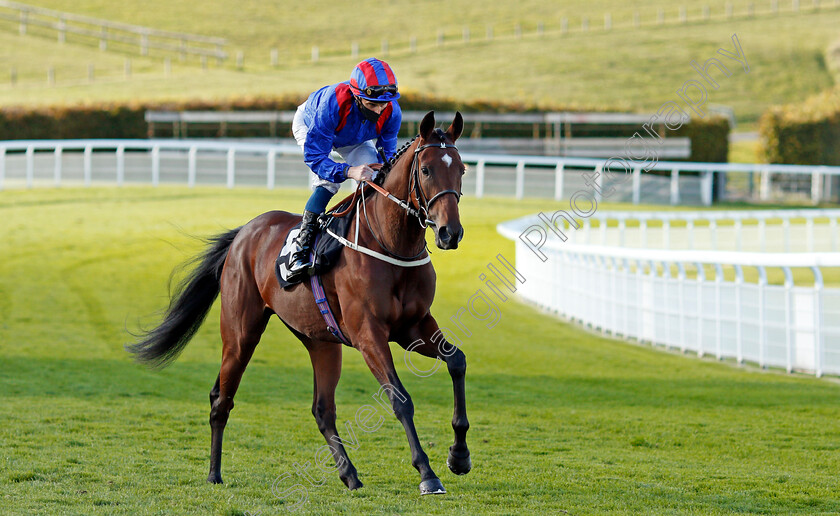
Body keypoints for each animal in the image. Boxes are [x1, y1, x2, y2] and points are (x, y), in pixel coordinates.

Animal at [130, 112, 472, 496]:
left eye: (461, 168)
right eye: (426, 170)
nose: (450, 233)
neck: (390, 244)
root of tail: (245, 231)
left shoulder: (414, 325)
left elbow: (457, 361)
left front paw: (459, 456)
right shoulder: (369, 334)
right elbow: (400, 398)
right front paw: (427, 473)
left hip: (321, 340)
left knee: (322, 409)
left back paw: (349, 474)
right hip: (240, 333)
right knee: (222, 400)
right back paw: (214, 474)